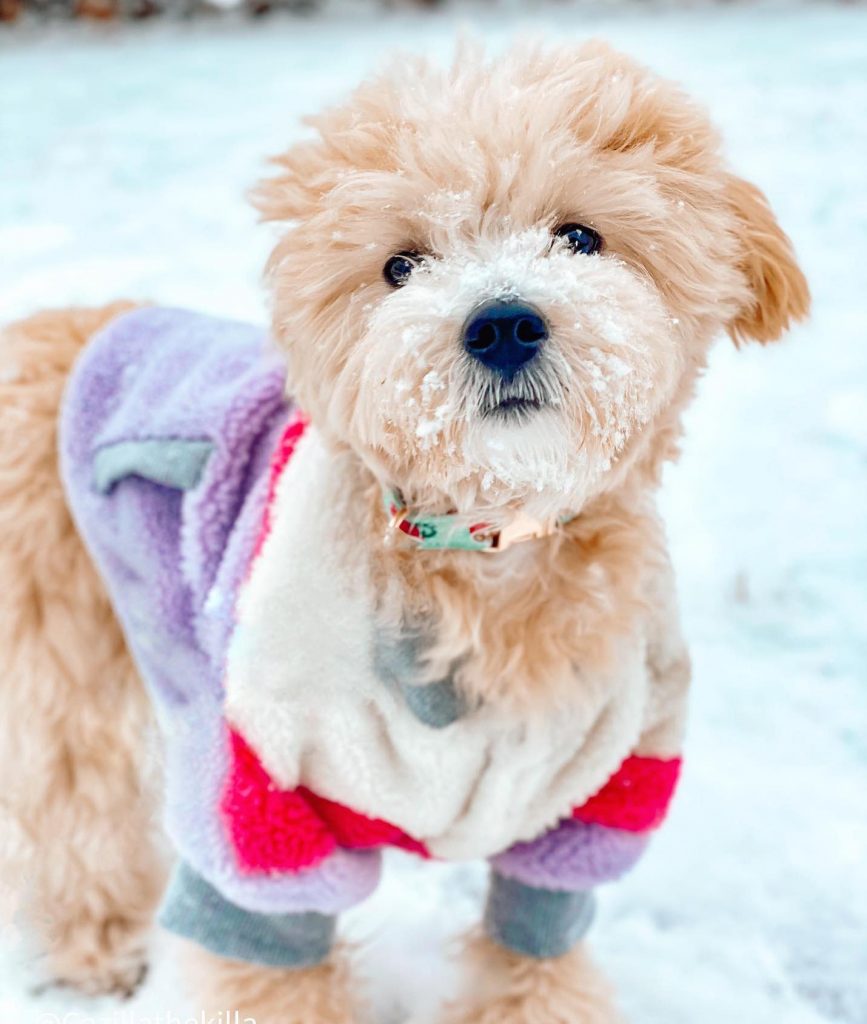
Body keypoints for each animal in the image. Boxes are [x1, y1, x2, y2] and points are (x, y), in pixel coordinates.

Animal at [0, 39, 810, 1024]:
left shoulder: (590, 809)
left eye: (580, 236)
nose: (501, 323)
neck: (482, 544)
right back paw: (95, 951)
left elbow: (535, 966)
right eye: (400, 266)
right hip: (60, 663)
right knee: (74, 816)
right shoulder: (261, 809)